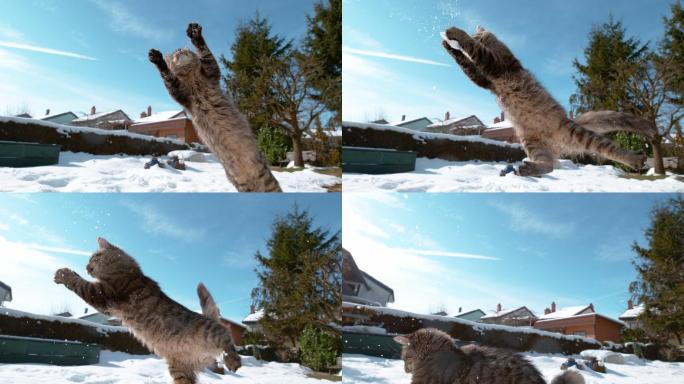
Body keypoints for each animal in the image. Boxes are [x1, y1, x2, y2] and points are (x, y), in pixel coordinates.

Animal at [54, 237, 240, 384]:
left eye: (93, 257)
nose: (86, 267)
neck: (126, 270)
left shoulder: (102, 293)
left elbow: (78, 283)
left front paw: (63, 274)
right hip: (179, 369)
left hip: (211, 333)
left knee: (227, 338)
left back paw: (233, 361)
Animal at [148, 22, 282, 192]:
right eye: (174, 54)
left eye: (185, 50)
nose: (179, 49)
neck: (192, 79)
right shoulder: (180, 93)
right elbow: (168, 76)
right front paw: (158, 60)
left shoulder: (211, 72)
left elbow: (205, 53)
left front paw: (196, 35)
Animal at [440, 26, 656, 176]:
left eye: (477, 35)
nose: (476, 35)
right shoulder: (486, 79)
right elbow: (466, 64)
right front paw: (449, 46)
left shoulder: (495, 65)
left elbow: (473, 50)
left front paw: (455, 34)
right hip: (531, 144)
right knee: (551, 165)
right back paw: (530, 169)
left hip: (580, 136)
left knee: (610, 149)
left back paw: (635, 159)